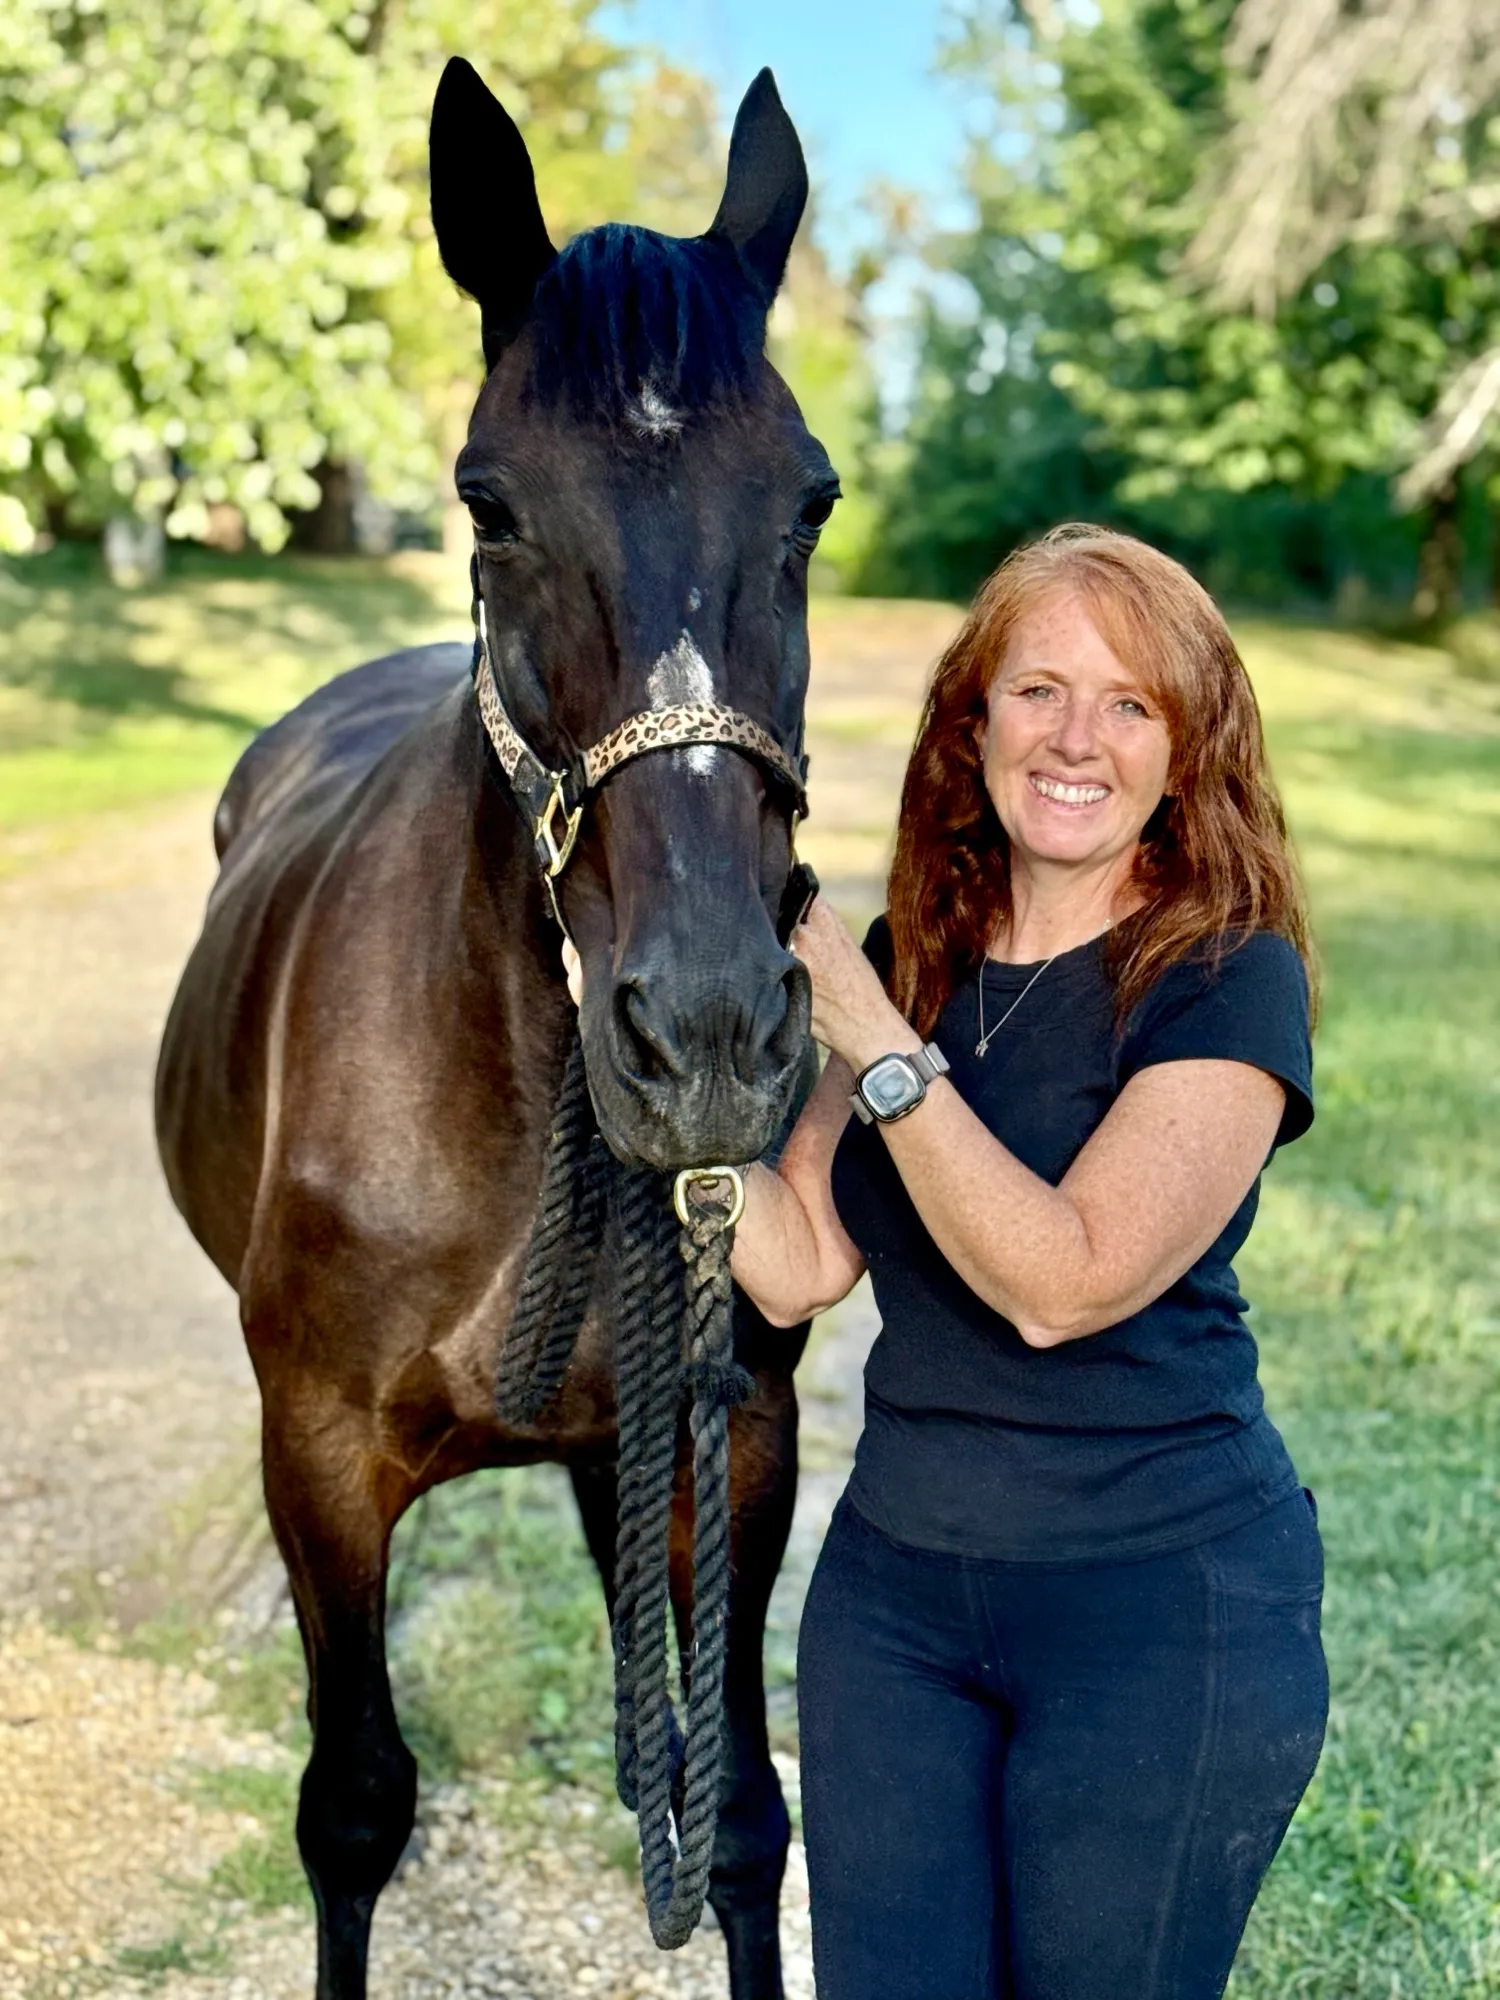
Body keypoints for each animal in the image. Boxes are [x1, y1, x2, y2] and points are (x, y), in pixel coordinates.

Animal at [154, 57, 837, 2000]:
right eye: (490, 507)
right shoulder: (315, 1462)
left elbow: (736, 1814)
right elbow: (354, 1809)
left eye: (812, 504)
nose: (710, 1038)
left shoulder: (735, 1436)